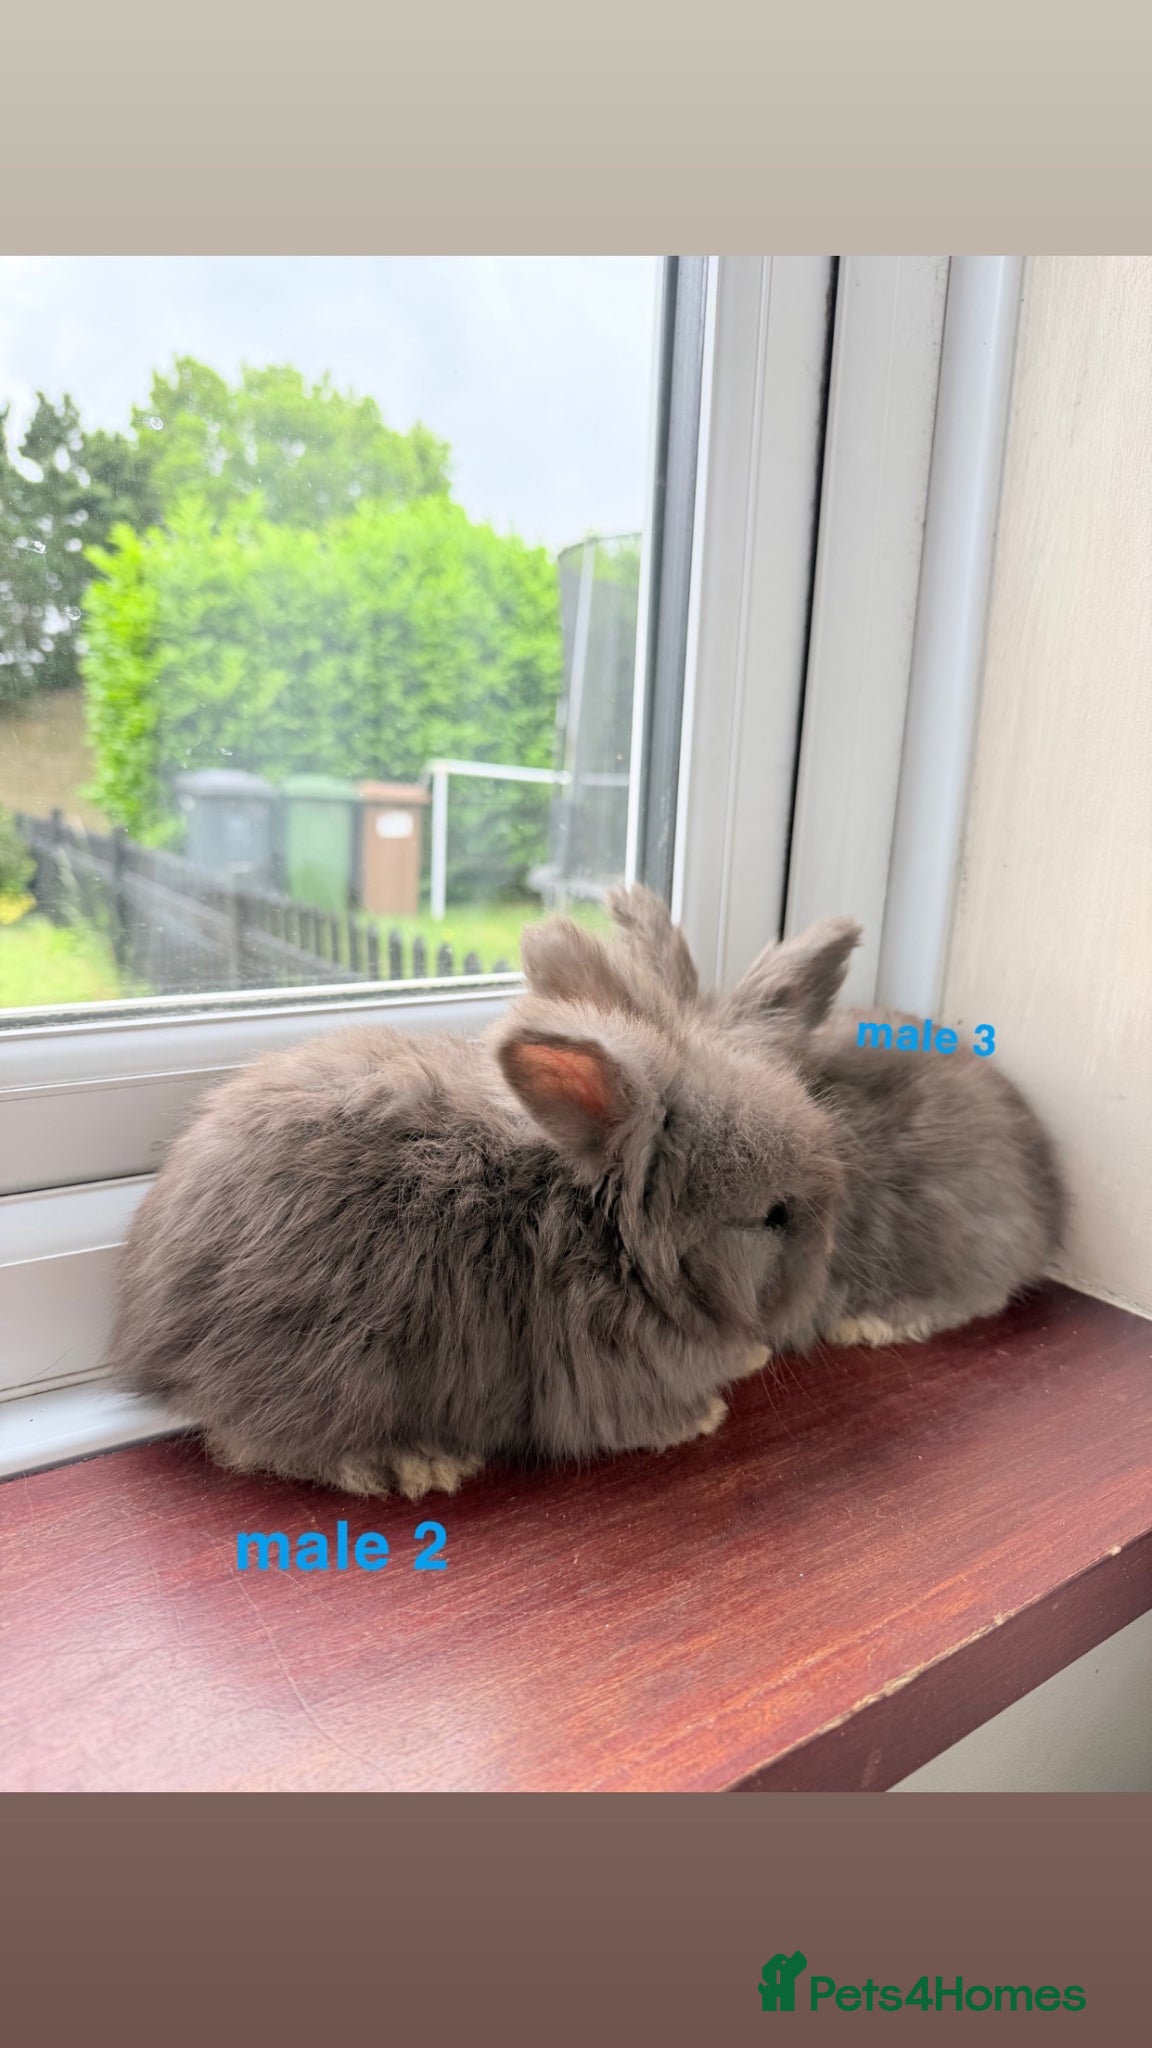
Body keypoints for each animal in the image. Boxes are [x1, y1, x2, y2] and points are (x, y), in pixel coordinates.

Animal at [106, 914, 846, 1499]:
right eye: (774, 1216)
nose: (821, 1281)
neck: (612, 1239)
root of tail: (150, 1340)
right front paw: (706, 1416)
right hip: (332, 1372)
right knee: (257, 1443)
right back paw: (414, 1464)